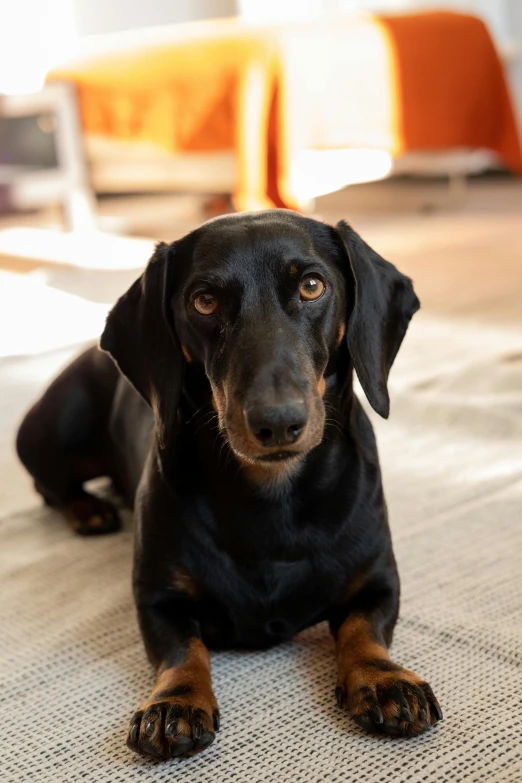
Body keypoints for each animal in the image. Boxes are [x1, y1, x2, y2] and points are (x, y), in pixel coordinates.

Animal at [16, 208, 438, 760]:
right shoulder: (157, 600)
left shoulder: (378, 582)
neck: (271, 497)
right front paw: (175, 700)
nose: (277, 422)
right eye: (204, 300)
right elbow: (183, 650)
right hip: (53, 432)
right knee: (51, 487)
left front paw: (383, 677)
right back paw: (88, 510)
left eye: (311, 285)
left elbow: (363, 628)